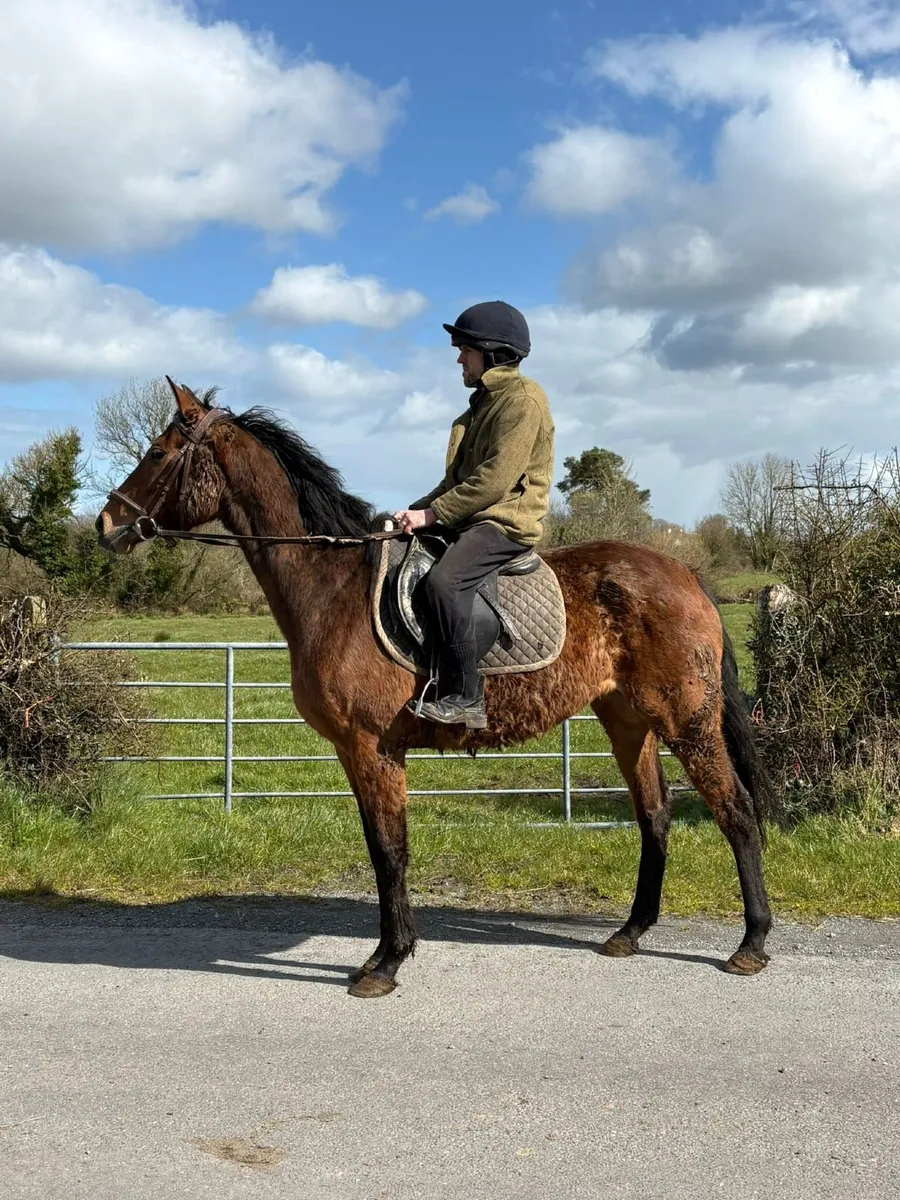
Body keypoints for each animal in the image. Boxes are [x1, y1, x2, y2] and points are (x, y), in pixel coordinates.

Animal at [96, 380, 772, 998]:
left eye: (157, 452)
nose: (106, 523)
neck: (332, 586)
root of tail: (685, 573)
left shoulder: (370, 747)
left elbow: (389, 851)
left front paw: (387, 962)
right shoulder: (357, 751)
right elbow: (382, 849)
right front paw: (385, 955)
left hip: (686, 717)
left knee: (735, 810)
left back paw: (751, 944)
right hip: (628, 719)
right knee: (654, 815)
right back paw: (630, 933)